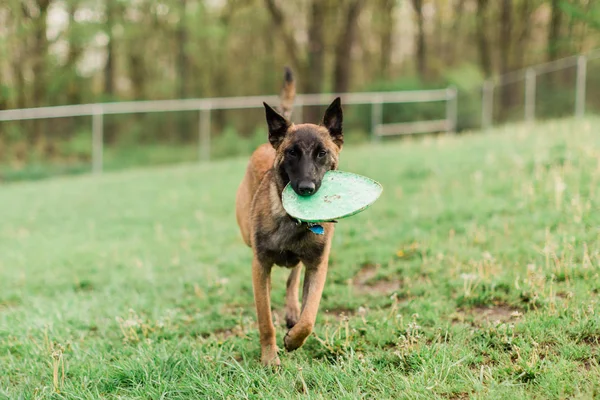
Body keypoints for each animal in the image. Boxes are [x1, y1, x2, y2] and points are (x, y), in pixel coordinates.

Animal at [237, 68, 344, 366]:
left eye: (322, 153)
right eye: (292, 153)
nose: (306, 188)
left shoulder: (318, 266)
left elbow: (309, 317)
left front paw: (294, 339)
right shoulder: (259, 266)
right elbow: (265, 321)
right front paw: (269, 358)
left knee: (293, 276)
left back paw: (293, 310)